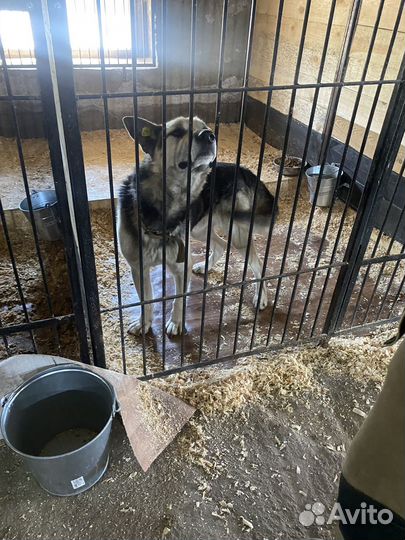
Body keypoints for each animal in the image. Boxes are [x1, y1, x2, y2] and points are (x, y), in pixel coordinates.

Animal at [118, 116, 276, 336]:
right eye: (177, 132)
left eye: (206, 128)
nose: (210, 135)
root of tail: (241, 169)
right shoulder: (138, 268)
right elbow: (146, 301)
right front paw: (144, 323)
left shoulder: (180, 268)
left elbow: (178, 299)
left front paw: (176, 323)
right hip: (199, 230)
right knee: (221, 245)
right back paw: (205, 266)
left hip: (238, 234)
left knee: (257, 264)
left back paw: (261, 297)